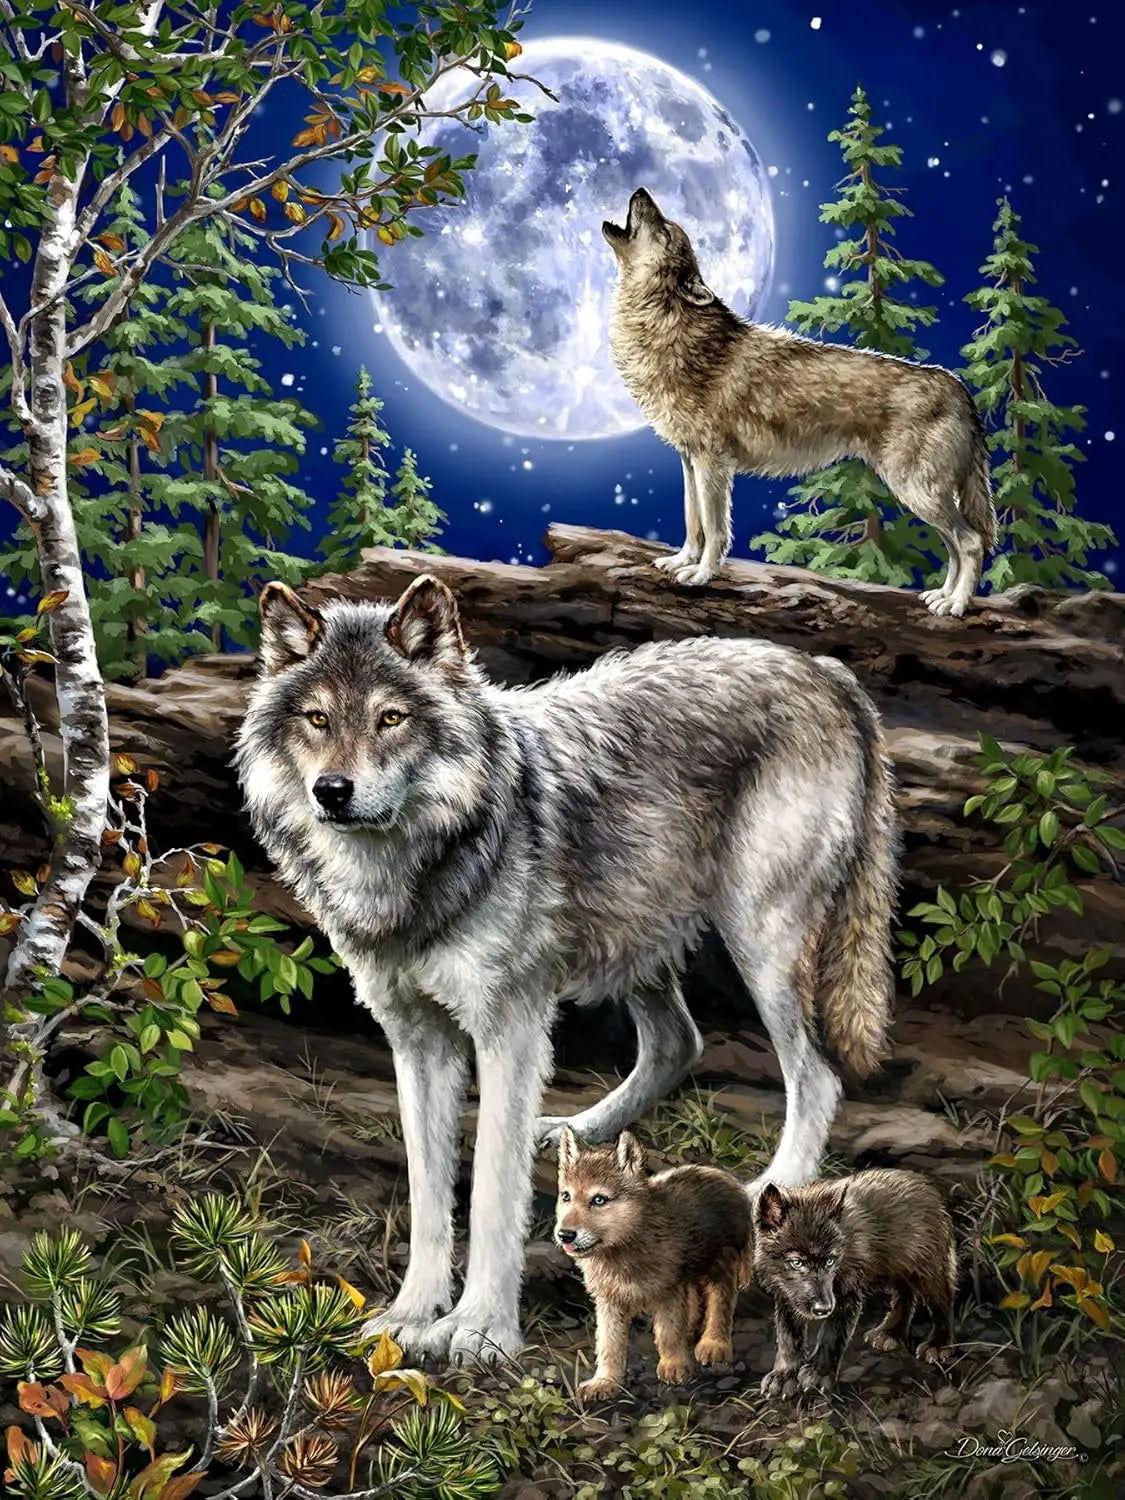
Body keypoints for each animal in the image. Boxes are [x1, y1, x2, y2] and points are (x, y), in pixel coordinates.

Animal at [236, 572, 897, 1367]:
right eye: (316, 718)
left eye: (391, 718)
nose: (331, 791)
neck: (413, 870)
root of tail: (825, 670)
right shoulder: (416, 1039)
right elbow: (429, 1194)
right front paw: (410, 1314)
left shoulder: (510, 1030)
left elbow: (493, 1190)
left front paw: (479, 1329)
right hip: (636, 937)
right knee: (679, 1043)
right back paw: (575, 1130)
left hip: (759, 942)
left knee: (814, 1076)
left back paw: (768, 1193)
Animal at [554, 1127, 752, 1399]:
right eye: (566, 1196)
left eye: (598, 1200)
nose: (565, 1234)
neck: (623, 1251)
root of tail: (727, 1178)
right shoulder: (608, 1301)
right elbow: (609, 1344)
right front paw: (605, 1382)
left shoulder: (667, 1292)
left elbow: (668, 1332)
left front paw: (674, 1366)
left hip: (720, 1263)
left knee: (720, 1302)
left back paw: (713, 1344)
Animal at [603, 187, 998, 617]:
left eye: (664, 229)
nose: (641, 190)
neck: (668, 326)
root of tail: (959, 387)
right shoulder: (690, 462)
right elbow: (694, 524)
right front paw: (681, 561)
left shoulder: (712, 464)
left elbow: (715, 529)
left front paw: (702, 575)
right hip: (924, 495)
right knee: (955, 546)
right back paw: (941, 595)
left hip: (916, 490)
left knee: (971, 542)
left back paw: (956, 604)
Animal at [754, 1169, 959, 1400]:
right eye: (797, 1262)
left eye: (830, 1261)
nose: (823, 1309)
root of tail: (925, 1184)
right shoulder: (788, 1297)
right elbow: (788, 1338)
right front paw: (784, 1375)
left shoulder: (845, 1296)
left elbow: (831, 1337)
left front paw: (818, 1374)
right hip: (892, 1273)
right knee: (906, 1298)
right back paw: (889, 1333)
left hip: (926, 1273)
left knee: (942, 1302)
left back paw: (938, 1344)